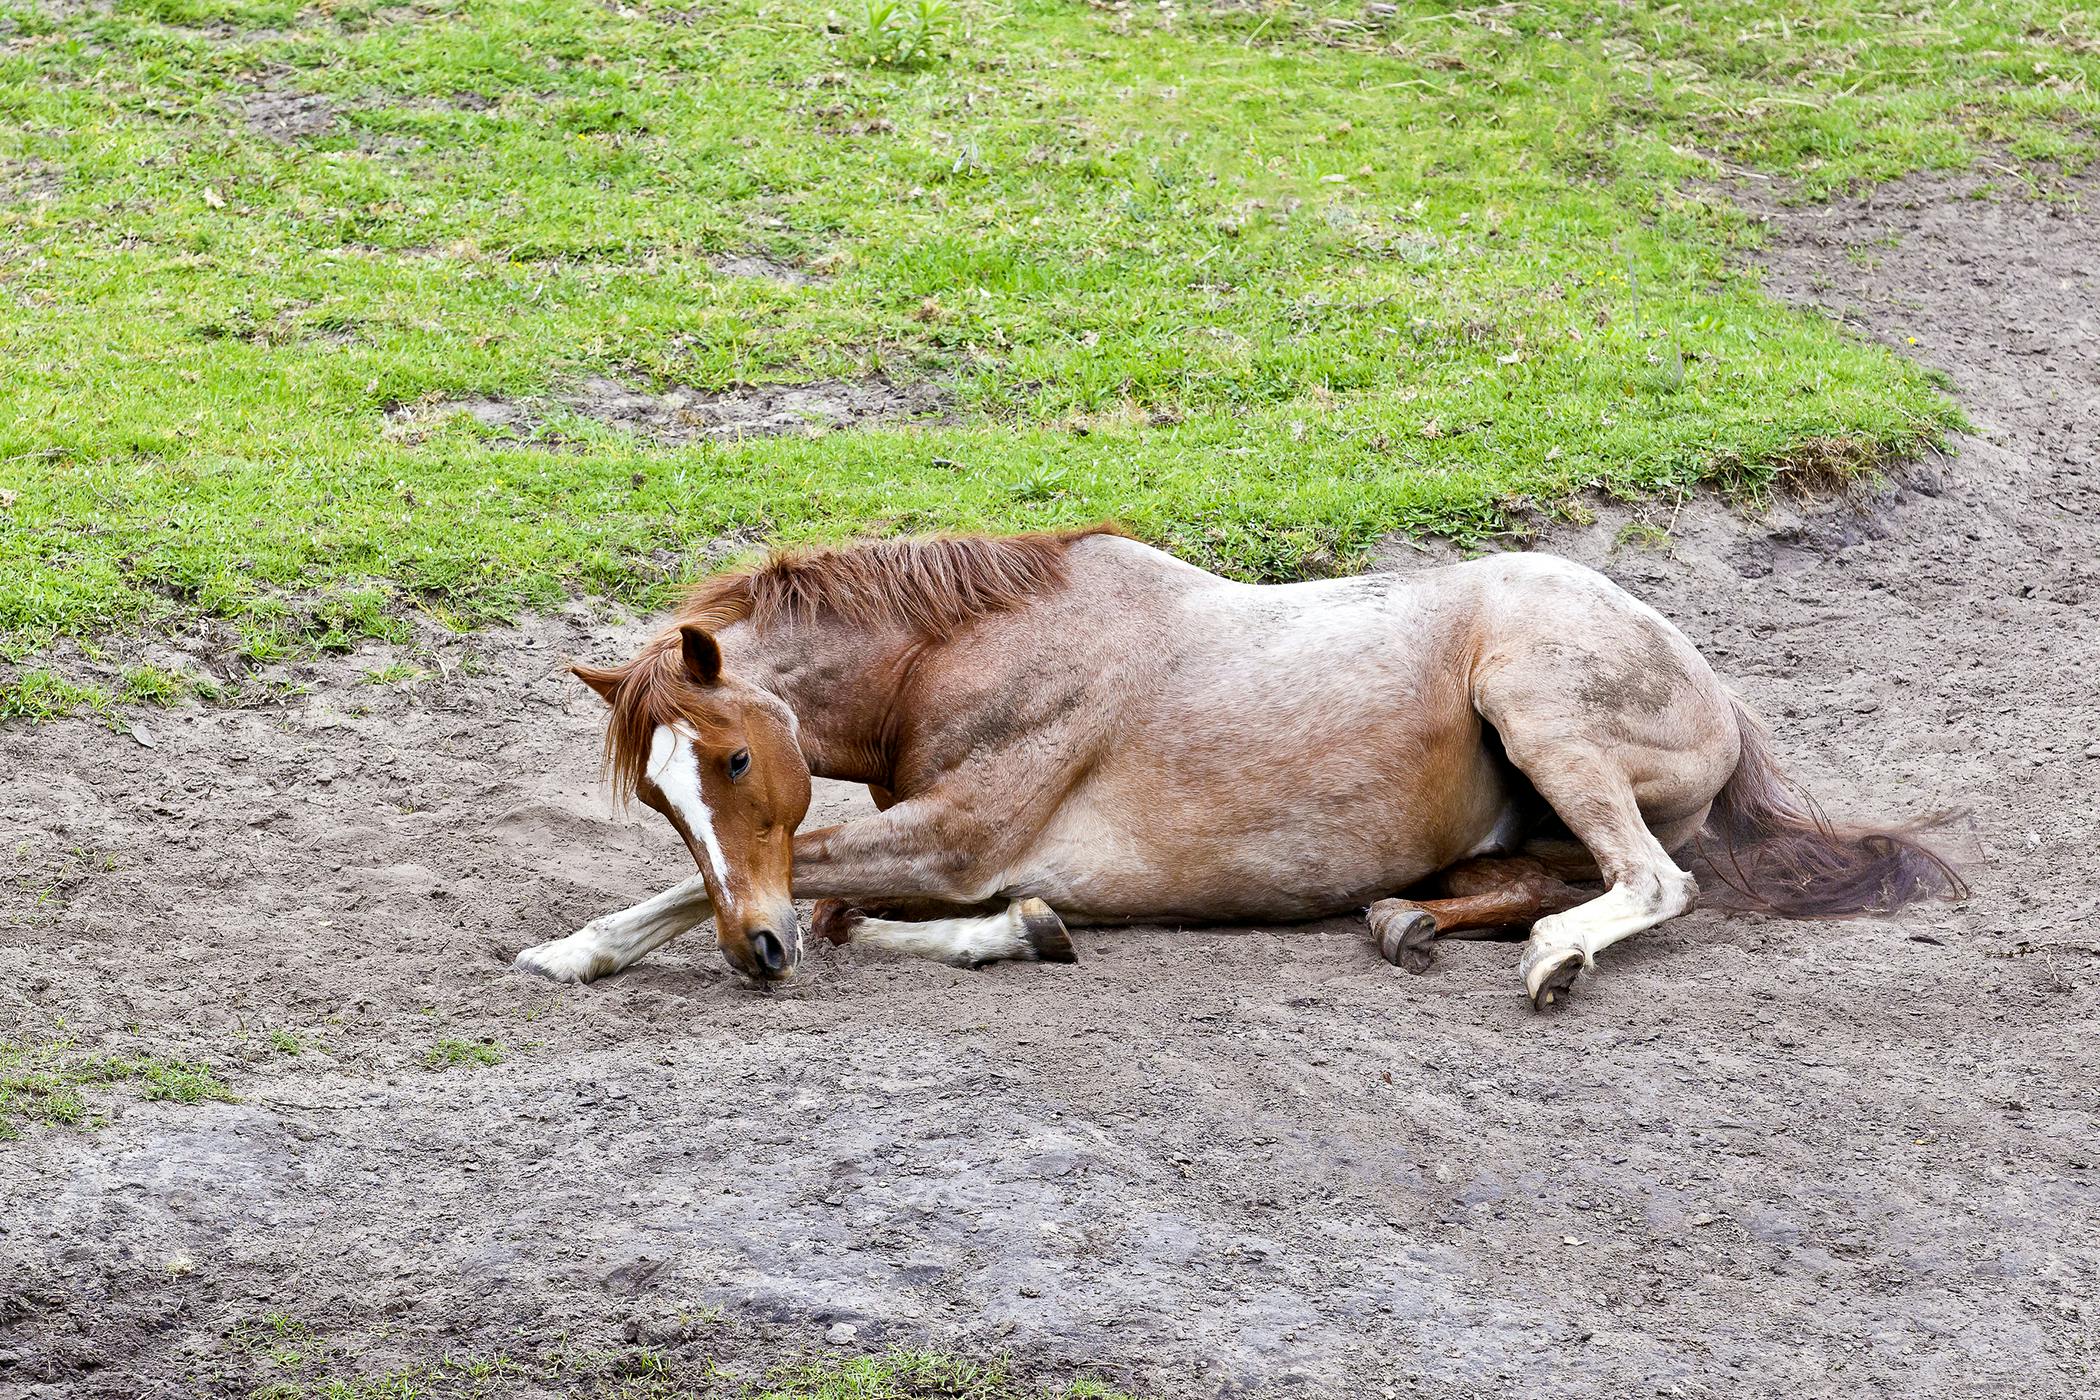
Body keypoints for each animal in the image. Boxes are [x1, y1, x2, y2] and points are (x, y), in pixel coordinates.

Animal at [517, 526, 1960, 1009]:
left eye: (735, 753)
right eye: (661, 793)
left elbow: (814, 884)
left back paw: (1552, 963)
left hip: (1538, 701)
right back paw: (1409, 921)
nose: (749, 956)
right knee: (1545, 879)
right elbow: (835, 909)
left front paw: (574, 950)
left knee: (1654, 881)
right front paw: (1025, 931)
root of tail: (1712, 685)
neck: (962, 646)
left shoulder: (955, 836)